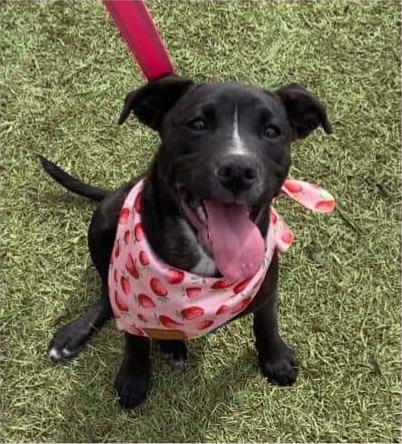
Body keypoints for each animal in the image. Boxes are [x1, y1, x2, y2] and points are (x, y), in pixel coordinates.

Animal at [40, 74, 332, 408]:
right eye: (197, 124)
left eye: (272, 131)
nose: (238, 170)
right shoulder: (131, 297)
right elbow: (134, 340)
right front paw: (133, 379)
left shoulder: (267, 288)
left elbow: (266, 323)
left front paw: (276, 359)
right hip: (103, 220)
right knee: (106, 293)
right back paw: (76, 335)